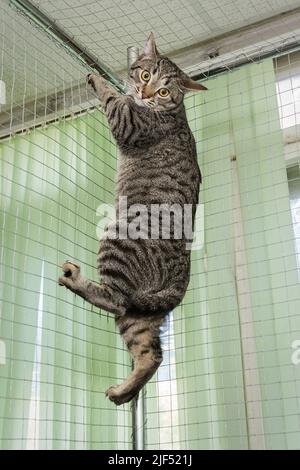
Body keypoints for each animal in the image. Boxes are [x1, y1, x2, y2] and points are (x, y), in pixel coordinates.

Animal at [59, 35, 207, 406]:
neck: (169, 111)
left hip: (116, 244)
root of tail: (181, 278)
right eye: (145, 75)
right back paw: (123, 391)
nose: (144, 91)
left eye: (164, 91)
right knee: (151, 353)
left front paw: (100, 81)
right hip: (141, 317)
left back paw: (77, 281)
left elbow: (114, 99)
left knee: (115, 298)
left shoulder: (128, 121)